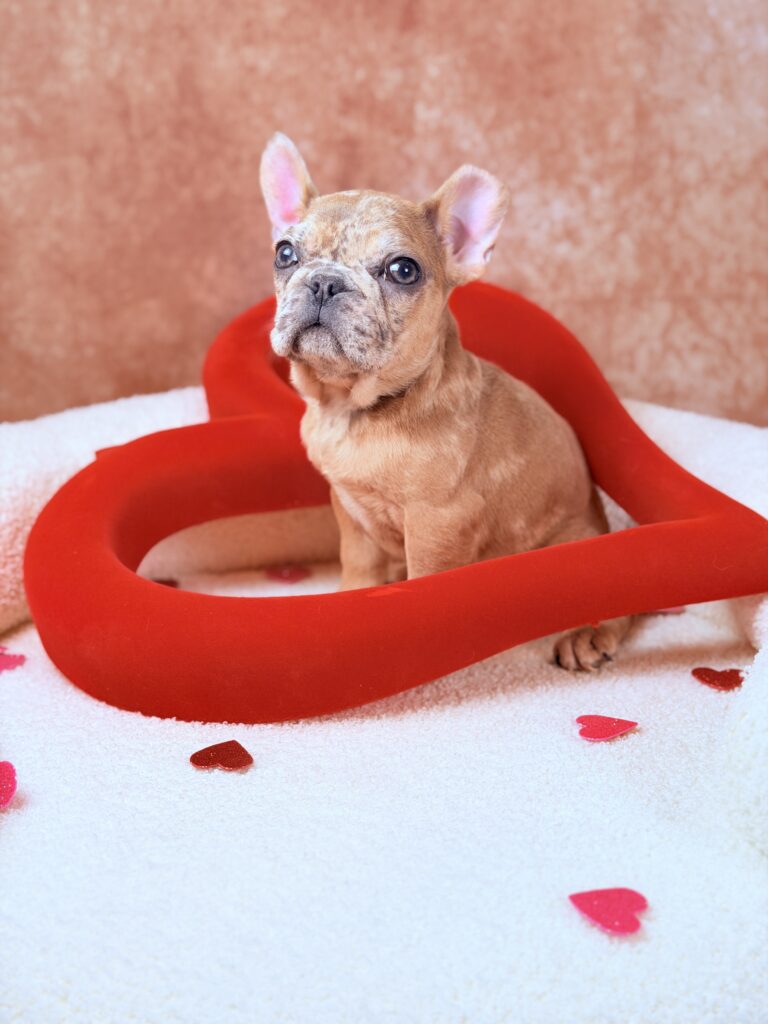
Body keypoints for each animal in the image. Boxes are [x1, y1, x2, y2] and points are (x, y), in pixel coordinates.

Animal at [259, 132, 631, 670]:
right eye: (285, 253)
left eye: (403, 270)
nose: (326, 282)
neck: (355, 408)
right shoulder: (349, 511)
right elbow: (359, 565)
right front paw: (354, 601)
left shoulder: (439, 523)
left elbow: (428, 586)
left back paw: (586, 634)